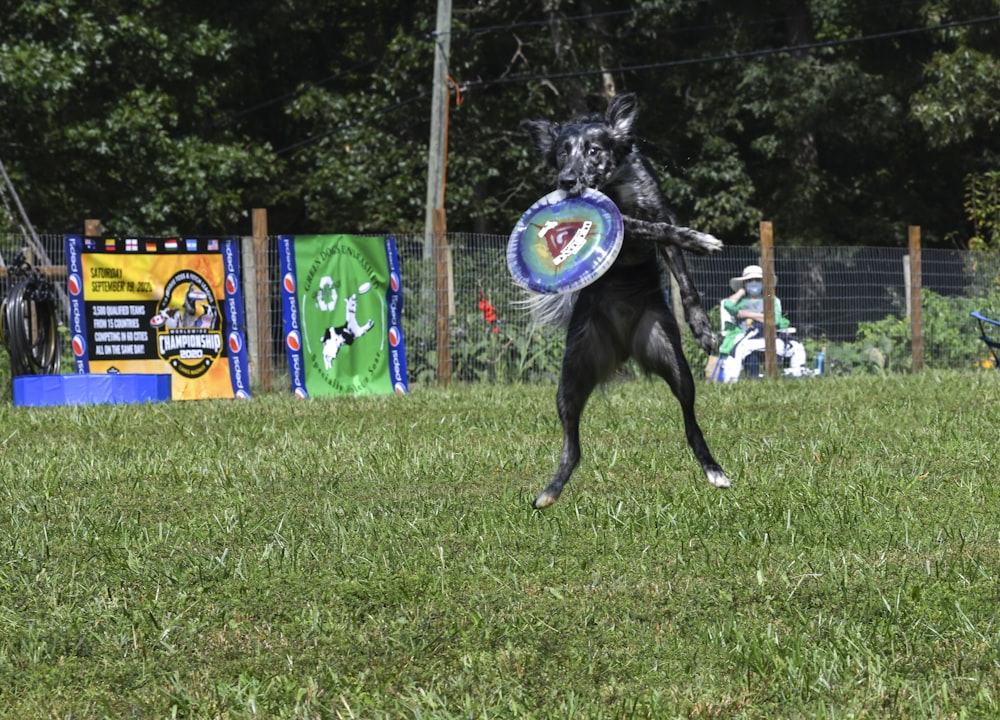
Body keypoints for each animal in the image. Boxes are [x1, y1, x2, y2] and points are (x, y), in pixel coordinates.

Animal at [520, 93, 732, 510]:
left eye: (594, 150)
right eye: (561, 152)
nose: (566, 181)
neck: (615, 184)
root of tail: (621, 349)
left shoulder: (656, 206)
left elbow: (681, 269)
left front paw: (703, 328)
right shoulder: (624, 221)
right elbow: (653, 227)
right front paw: (699, 239)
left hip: (674, 363)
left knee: (691, 425)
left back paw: (714, 470)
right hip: (570, 379)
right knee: (572, 448)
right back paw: (549, 492)